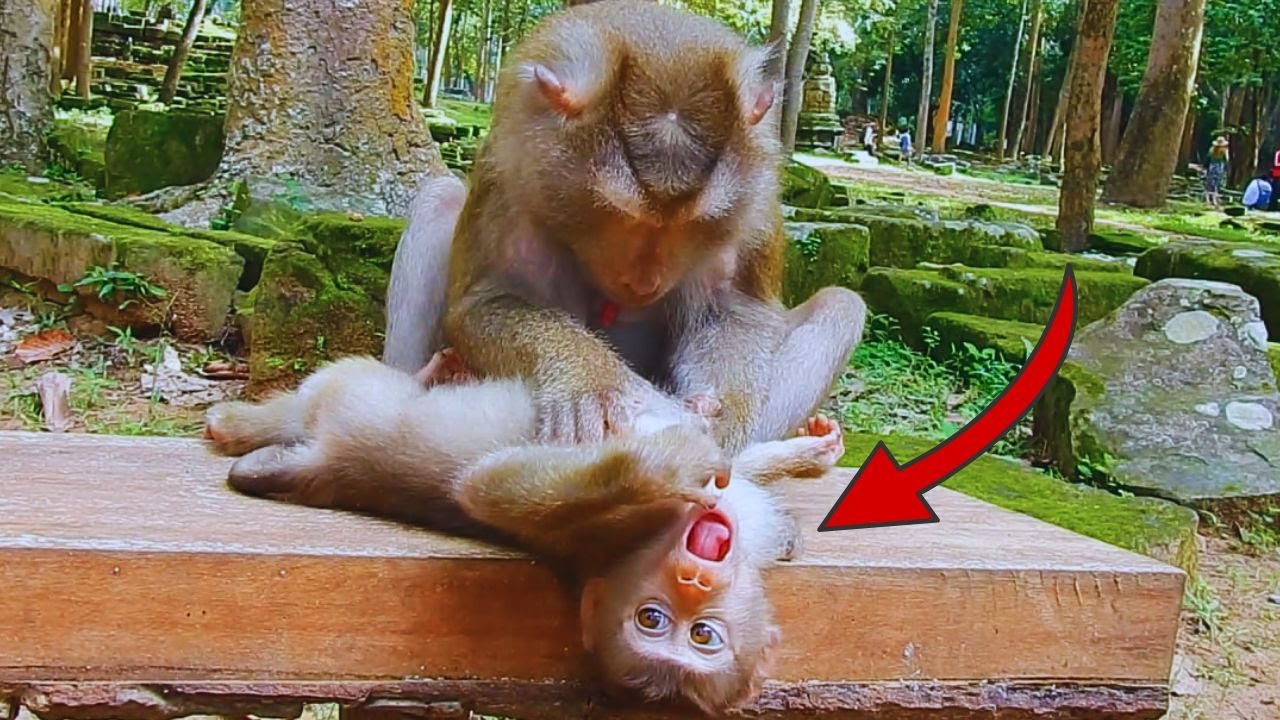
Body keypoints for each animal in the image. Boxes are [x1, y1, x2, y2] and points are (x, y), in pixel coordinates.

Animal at [203, 355, 846, 715]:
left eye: (702, 636)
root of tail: (328, 465)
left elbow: (481, 489)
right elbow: (484, 485)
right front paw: (804, 451)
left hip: (352, 400)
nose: (695, 578)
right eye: (653, 619)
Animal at [381, 0, 867, 454]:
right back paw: (429, 377)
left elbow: (736, 310)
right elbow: (486, 302)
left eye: (692, 224)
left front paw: (722, 417)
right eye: (621, 215)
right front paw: (587, 376)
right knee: (441, 197)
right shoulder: (512, 172)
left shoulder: (755, 197)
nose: (643, 281)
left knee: (842, 305)